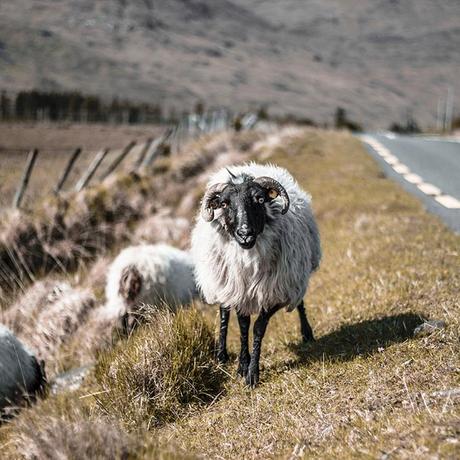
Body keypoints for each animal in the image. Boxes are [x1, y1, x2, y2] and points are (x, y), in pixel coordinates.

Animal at [190, 164, 320, 386]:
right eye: (224, 203)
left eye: (259, 199)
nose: (245, 234)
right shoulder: (239, 290)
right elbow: (243, 326)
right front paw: (243, 365)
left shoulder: (277, 291)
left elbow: (258, 327)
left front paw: (252, 372)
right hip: (223, 281)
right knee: (224, 313)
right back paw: (221, 355)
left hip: (295, 276)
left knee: (300, 302)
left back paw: (307, 334)